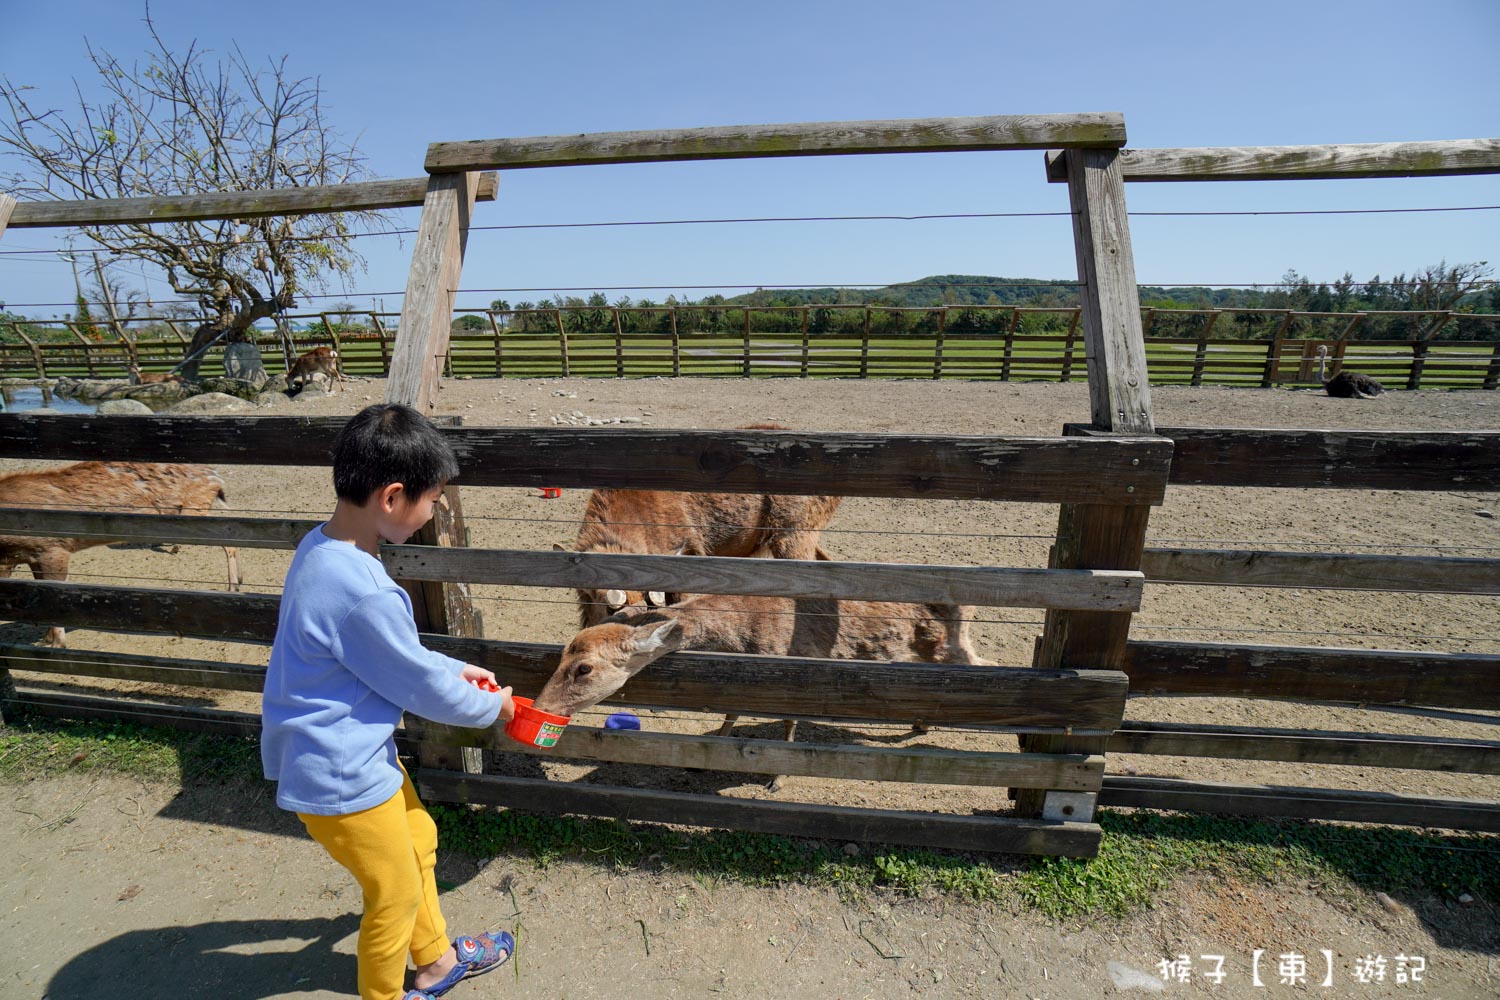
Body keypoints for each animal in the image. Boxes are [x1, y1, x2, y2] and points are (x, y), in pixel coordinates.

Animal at [0, 464, 240, 650]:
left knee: (230, 543)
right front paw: (45, 638)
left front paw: (57, 644)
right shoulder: (33, 558)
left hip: (194, 511)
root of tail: (217, 479)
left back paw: (234, 587)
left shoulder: (54, 549)